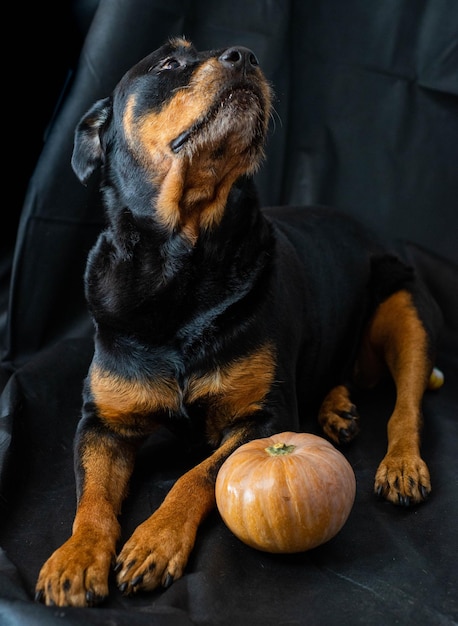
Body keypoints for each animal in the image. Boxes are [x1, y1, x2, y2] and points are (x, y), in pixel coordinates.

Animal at [35, 37, 444, 604]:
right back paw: (337, 408)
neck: (182, 263)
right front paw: (76, 556)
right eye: (168, 63)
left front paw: (155, 541)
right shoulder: (102, 422)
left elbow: (197, 476)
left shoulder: (263, 416)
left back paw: (401, 463)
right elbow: (90, 498)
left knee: (407, 405)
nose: (245, 55)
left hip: (404, 304)